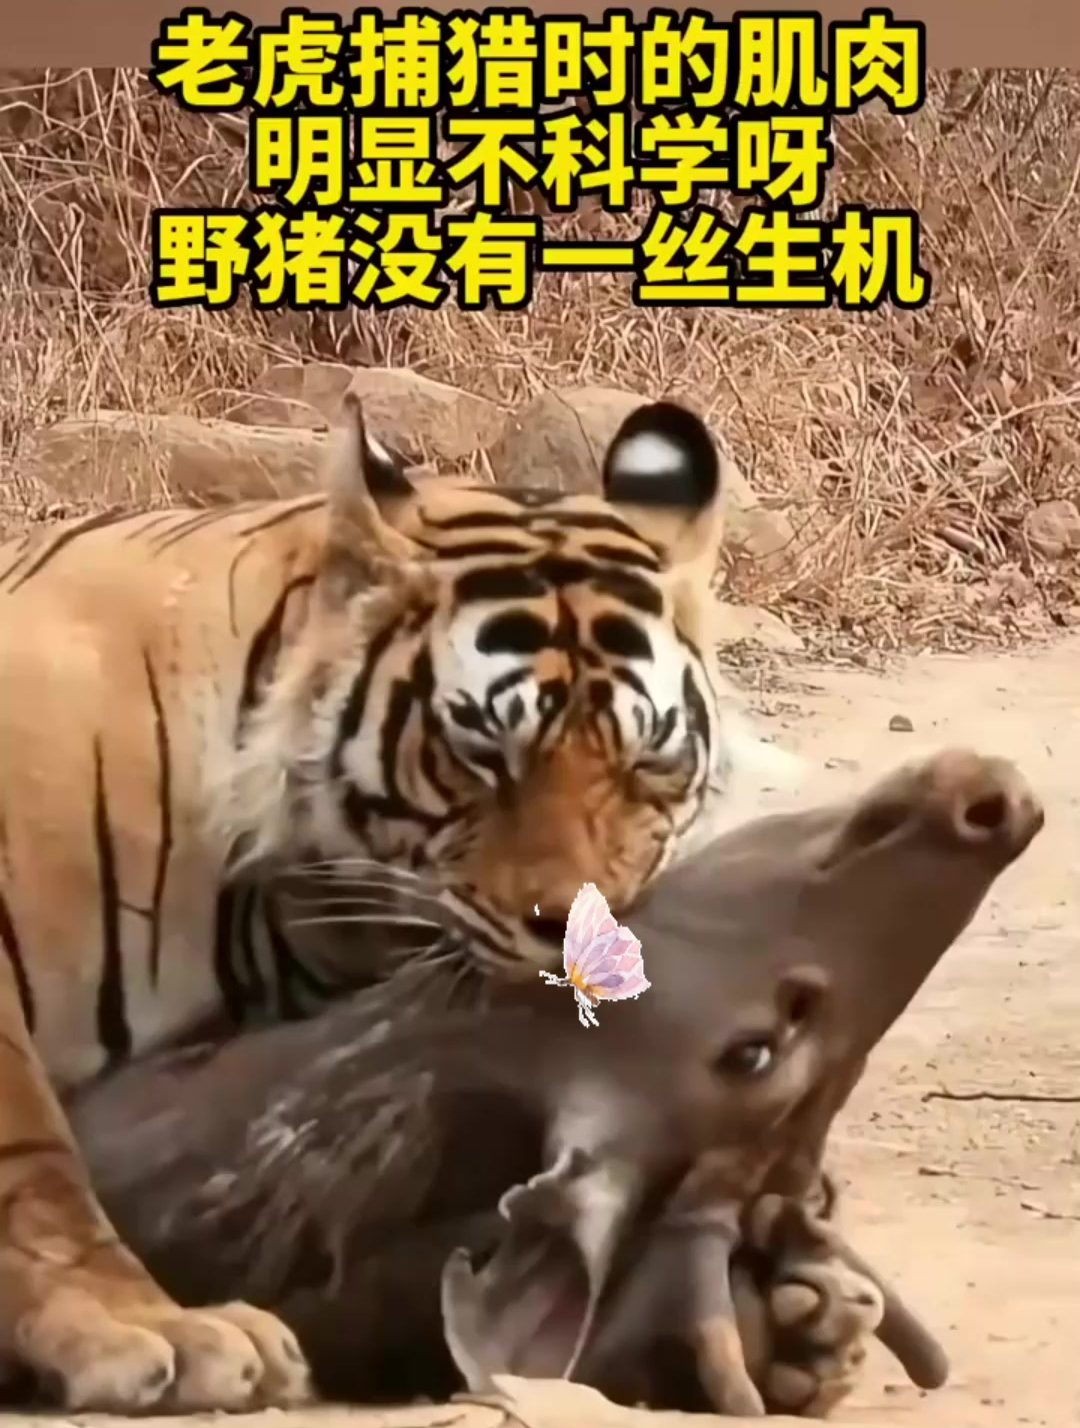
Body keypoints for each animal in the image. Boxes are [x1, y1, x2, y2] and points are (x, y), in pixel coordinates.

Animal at [0, 390, 875, 1416]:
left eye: (646, 762)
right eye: (485, 754)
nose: (590, 944)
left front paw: (779, 1308)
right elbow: (36, 1162)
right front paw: (144, 1326)